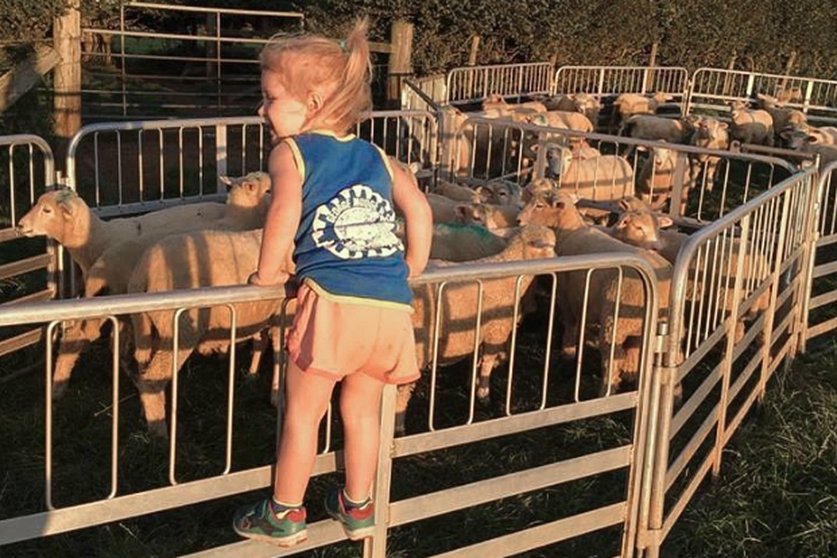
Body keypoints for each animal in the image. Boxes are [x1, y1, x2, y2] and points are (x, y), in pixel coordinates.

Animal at [124, 228, 294, 438]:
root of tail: (142, 273)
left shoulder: (265, 315)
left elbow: (261, 344)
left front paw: (253, 376)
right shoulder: (284, 315)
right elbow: (280, 355)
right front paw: (278, 397)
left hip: (147, 329)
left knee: (143, 368)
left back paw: (146, 411)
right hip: (180, 331)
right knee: (152, 378)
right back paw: (159, 430)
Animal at [516, 190, 672, 396]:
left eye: (539, 205)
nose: (518, 220)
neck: (568, 231)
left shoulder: (566, 294)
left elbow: (571, 323)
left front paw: (568, 352)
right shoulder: (583, 296)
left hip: (615, 321)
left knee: (613, 356)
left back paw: (606, 390)